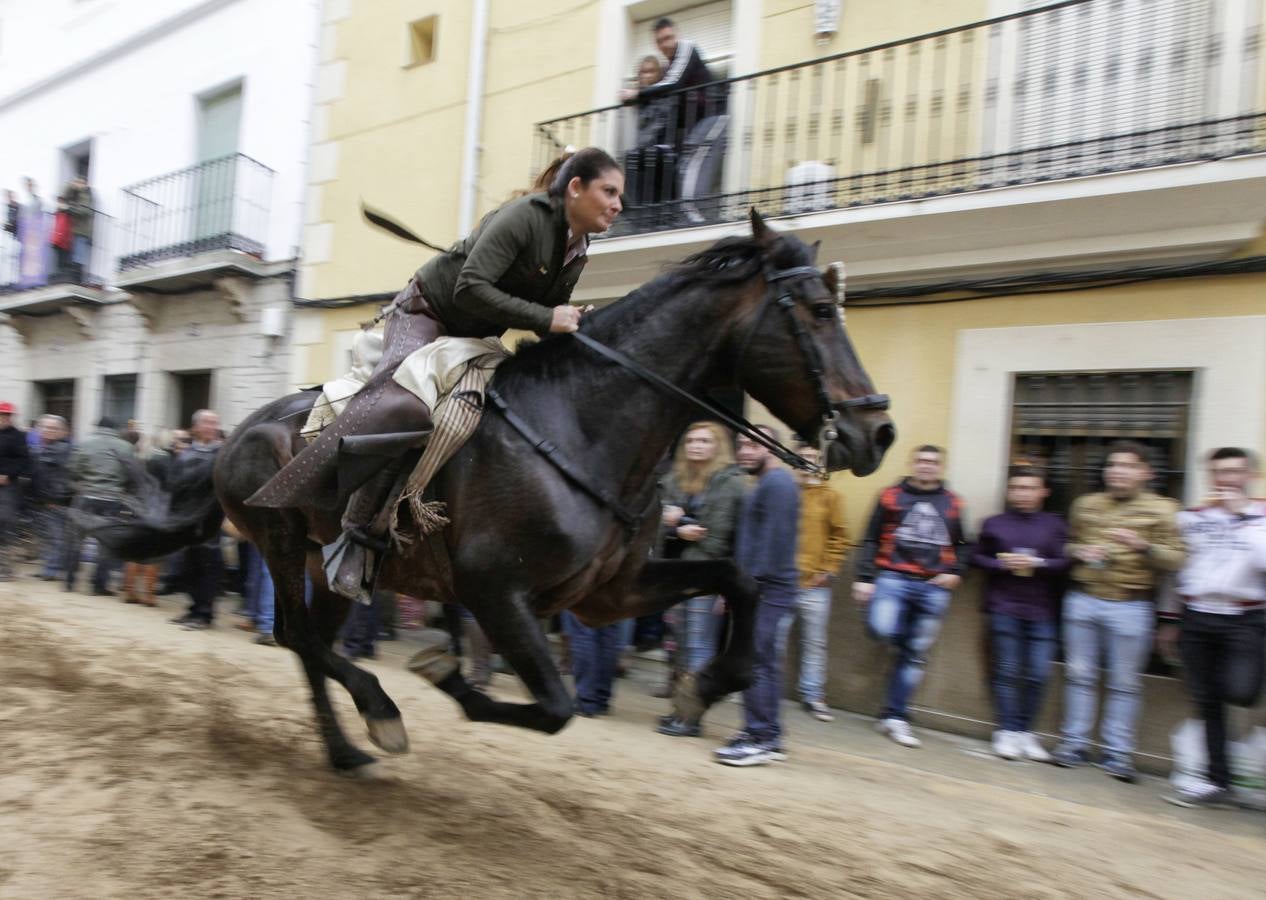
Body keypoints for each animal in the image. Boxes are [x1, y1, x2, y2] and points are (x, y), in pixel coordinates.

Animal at [103, 207, 896, 769]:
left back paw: (346, 748)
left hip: (331, 569)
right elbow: (553, 706)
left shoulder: (610, 594)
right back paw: (377, 714)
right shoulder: (495, 591)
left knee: (307, 643)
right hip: (280, 538)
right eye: (818, 312)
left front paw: (708, 682)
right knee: (295, 634)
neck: (583, 422)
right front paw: (446, 675)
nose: (877, 431)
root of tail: (232, 435)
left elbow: (740, 579)